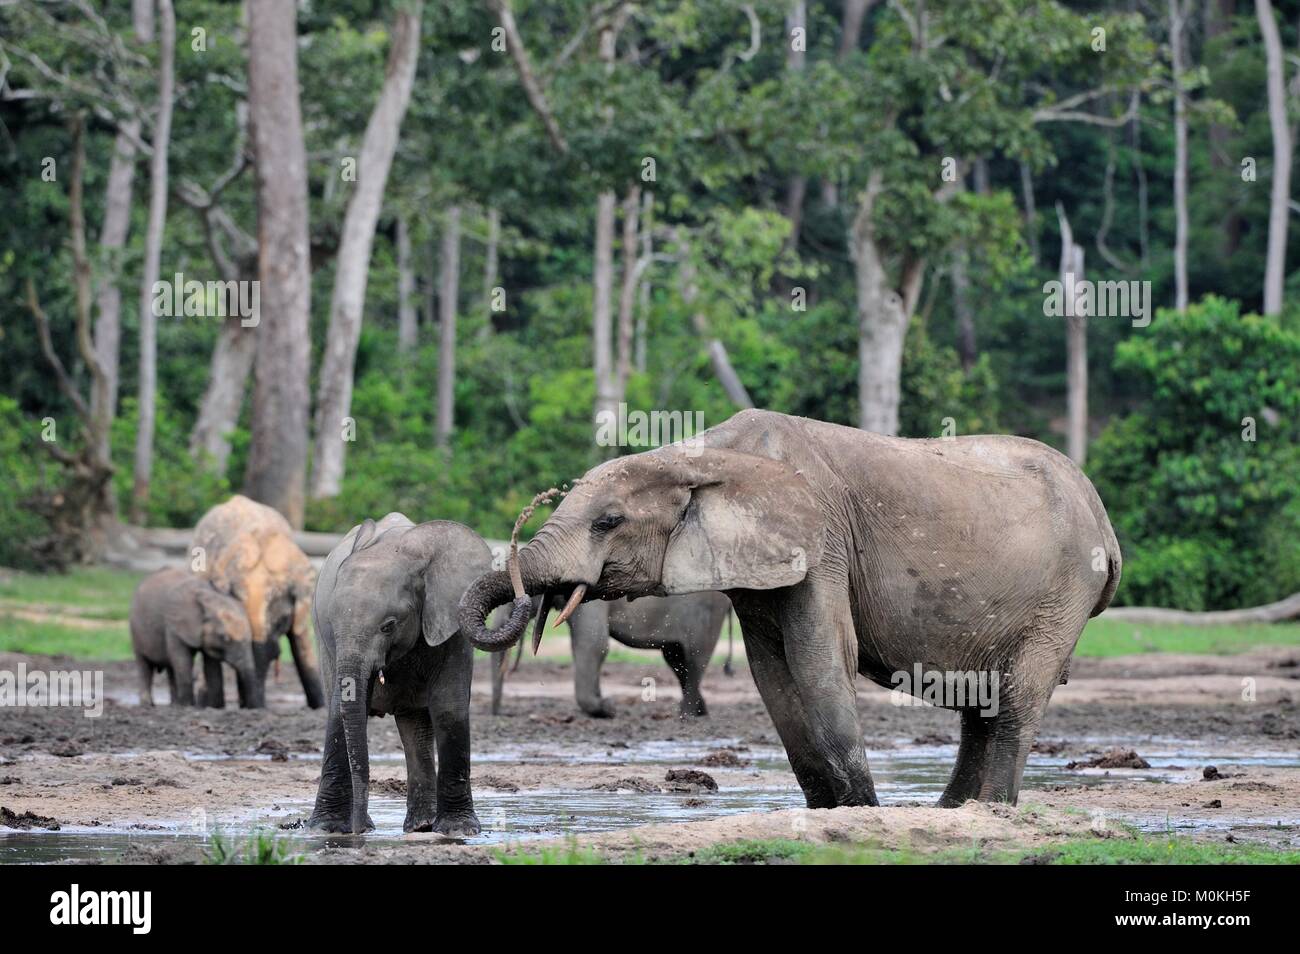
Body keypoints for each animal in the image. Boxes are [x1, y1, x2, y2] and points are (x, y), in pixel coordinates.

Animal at [129, 568, 264, 708]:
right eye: (225, 638)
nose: (252, 708)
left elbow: (211, 666)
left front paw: (214, 707)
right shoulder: (173, 627)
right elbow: (182, 660)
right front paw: (188, 706)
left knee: (171, 667)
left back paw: (175, 704)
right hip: (135, 631)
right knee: (144, 665)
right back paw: (148, 705)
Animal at [307, 513, 486, 837]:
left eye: (388, 626)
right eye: (332, 622)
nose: (359, 830)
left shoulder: (451, 619)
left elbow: (449, 707)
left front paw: (459, 830)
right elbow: (341, 707)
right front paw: (327, 829)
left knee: (416, 726)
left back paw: (422, 826)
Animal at [491, 592, 733, 718]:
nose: (499, 713)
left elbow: (593, 644)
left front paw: (608, 708)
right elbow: (583, 646)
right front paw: (604, 704)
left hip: (708, 613)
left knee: (694, 660)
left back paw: (687, 715)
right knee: (676, 660)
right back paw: (701, 711)